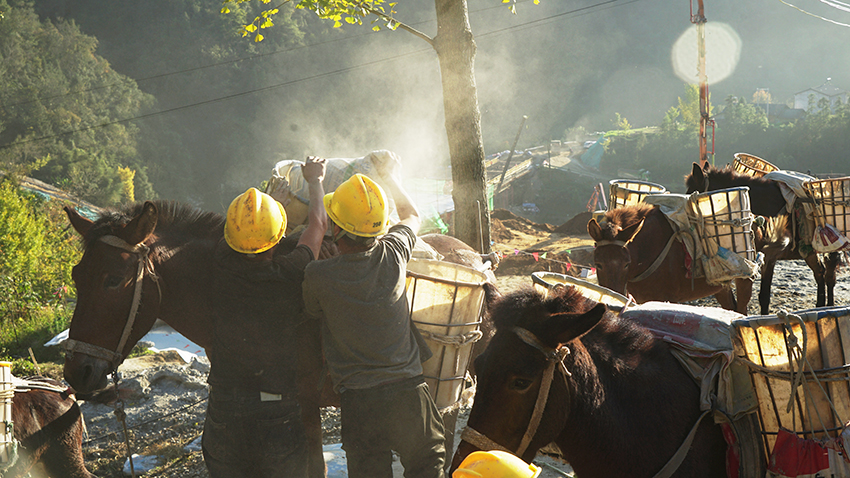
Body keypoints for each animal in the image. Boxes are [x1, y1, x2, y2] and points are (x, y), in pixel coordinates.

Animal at [588, 204, 752, 316]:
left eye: (626, 264)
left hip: (744, 277)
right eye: (598, 264)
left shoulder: (669, 300)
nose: (612, 302)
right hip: (721, 285)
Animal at [684, 162, 840, 316]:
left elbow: (764, 296)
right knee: (819, 272)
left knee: (829, 277)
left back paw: (829, 306)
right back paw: (820, 306)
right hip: (809, 252)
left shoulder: (771, 256)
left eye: (691, 195)